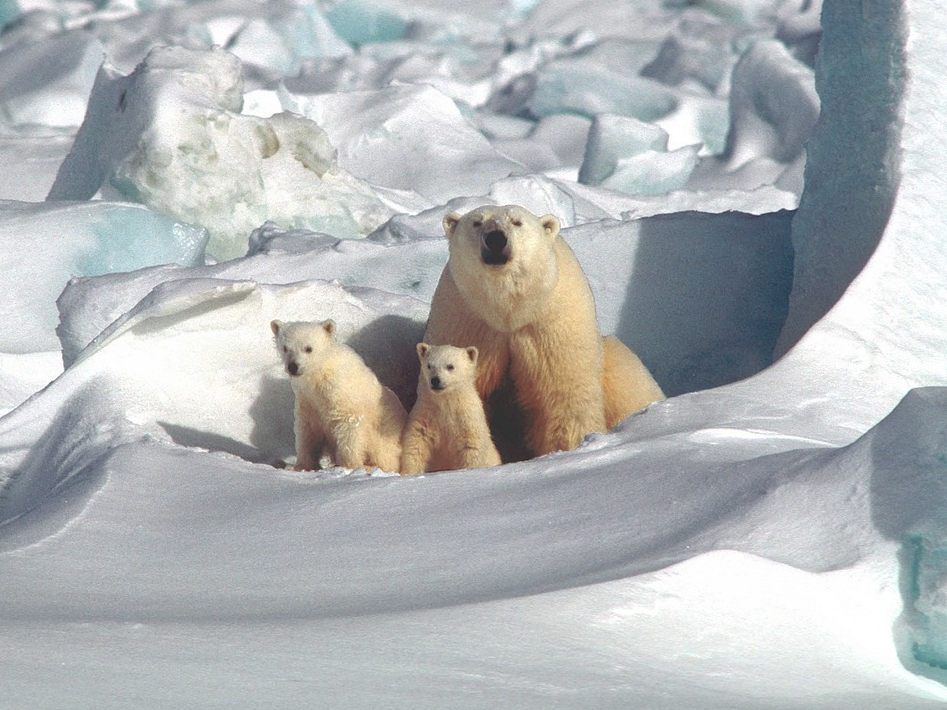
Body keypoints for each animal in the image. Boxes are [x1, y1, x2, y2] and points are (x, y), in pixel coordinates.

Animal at [272, 320, 410, 476]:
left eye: (308, 348)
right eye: (285, 348)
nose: (293, 366)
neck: (320, 375)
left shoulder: (342, 394)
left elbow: (350, 425)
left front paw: (348, 466)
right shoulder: (307, 398)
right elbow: (307, 430)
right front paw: (300, 466)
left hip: (385, 434)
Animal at [400, 342, 504, 476]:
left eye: (450, 366)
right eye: (429, 365)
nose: (435, 380)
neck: (446, 402)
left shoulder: (467, 418)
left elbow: (471, 445)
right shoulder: (425, 414)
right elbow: (416, 442)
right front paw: (409, 472)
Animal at [426, 204, 664, 462]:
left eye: (517, 222)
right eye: (477, 222)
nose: (496, 239)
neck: (508, 312)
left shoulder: (550, 324)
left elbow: (563, 396)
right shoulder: (468, 322)